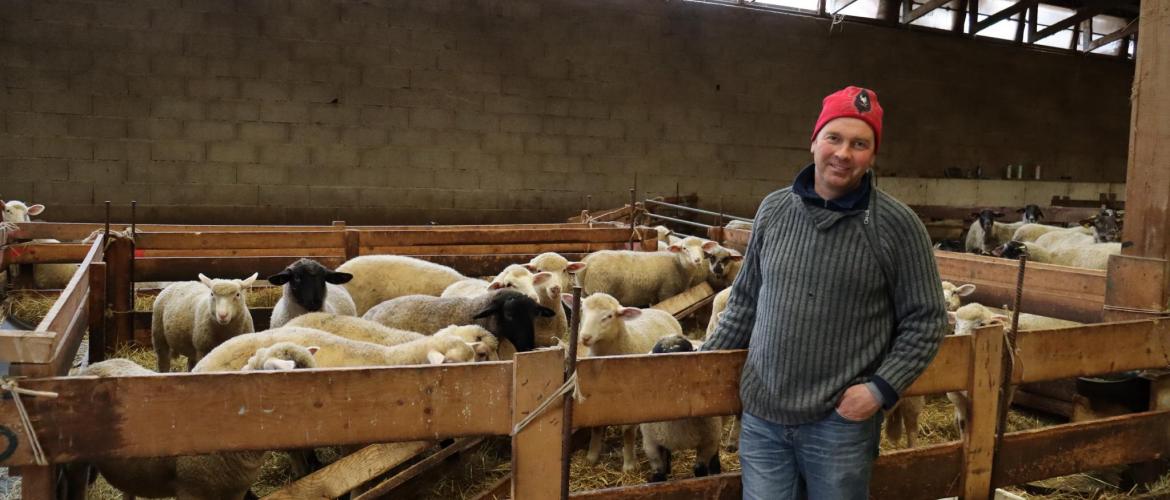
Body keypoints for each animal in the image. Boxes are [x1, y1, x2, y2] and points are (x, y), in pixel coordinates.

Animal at [568, 293, 683, 473]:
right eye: (582, 311)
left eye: (608, 316)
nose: (585, 337)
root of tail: (659, 310)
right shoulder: (598, 397)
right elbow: (596, 427)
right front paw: (591, 457)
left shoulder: (633, 399)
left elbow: (628, 432)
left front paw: (629, 465)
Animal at [577, 236, 706, 306]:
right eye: (684, 248)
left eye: (702, 248)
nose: (697, 260)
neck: (678, 264)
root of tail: (587, 262)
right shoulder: (666, 292)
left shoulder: (654, 295)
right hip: (600, 289)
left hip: (584, 292)